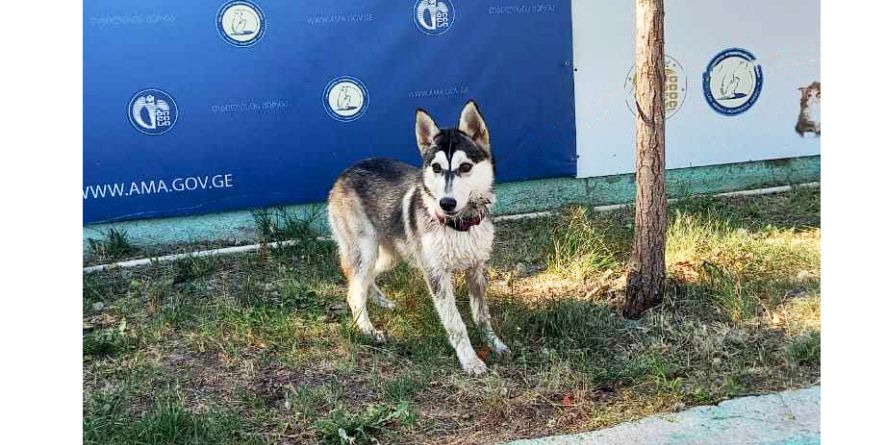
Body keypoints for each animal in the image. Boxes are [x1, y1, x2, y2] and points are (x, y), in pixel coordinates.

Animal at [328, 100, 510, 374]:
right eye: (436, 168)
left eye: (465, 167)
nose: (446, 203)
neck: (459, 224)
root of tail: (346, 171)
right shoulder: (436, 275)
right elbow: (456, 323)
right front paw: (470, 360)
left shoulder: (477, 269)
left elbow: (482, 315)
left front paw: (494, 343)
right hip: (365, 250)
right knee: (354, 292)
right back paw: (368, 330)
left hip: (391, 255)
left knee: (364, 279)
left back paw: (381, 301)